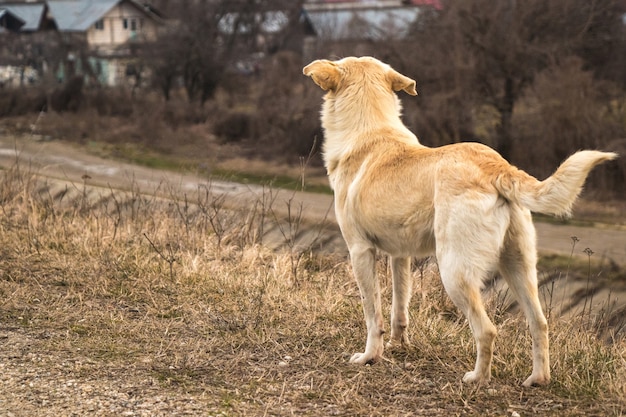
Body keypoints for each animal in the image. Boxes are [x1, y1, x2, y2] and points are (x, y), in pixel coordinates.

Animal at [302, 56, 616, 386]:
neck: (370, 128)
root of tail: (497, 167)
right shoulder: (400, 256)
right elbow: (399, 307)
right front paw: (398, 345)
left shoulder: (360, 251)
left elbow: (372, 313)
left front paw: (369, 357)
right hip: (519, 266)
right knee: (539, 323)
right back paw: (537, 379)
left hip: (454, 272)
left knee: (487, 330)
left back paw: (477, 378)